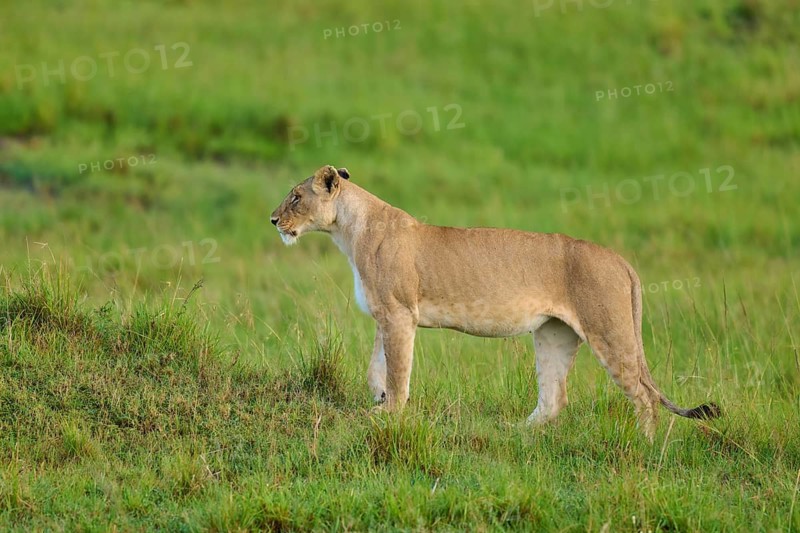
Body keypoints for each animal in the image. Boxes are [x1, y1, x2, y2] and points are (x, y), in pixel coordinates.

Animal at [270, 165, 720, 438]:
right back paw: (516, 434)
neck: (348, 231)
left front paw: (388, 415)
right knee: (554, 398)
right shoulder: (386, 315)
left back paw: (647, 445)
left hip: (609, 331)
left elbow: (398, 372)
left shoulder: (399, 314)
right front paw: (379, 404)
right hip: (554, 334)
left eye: (295, 197)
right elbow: (376, 369)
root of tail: (623, 262)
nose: (273, 220)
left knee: (644, 395)